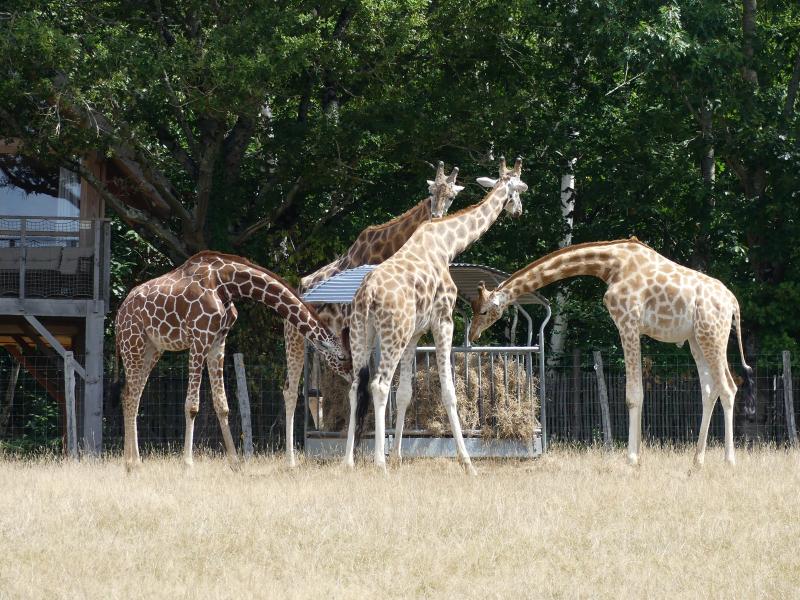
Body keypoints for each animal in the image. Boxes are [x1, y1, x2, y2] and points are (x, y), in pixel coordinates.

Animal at [115, 251, 351, 471]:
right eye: (341, 357)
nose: (351, 375)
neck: (227, 283)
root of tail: (119, 314)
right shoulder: (199, 339)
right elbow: (192, 405)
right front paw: (188, 463)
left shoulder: (218, 341)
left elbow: (223, 404)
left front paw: (235, 462)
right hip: (133, 344)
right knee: (131, 396)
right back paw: (132, 463)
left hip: (152, 349)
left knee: (129, 395)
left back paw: (133, 462)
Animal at [281, 162, 463, 467]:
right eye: (431, 193)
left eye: (451, 196)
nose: (437, 217)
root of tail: (300, 285)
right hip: (298, 339)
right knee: (292, 389)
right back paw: (293, 459)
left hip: (326, 348)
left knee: (321, 391)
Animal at [345, 157, 529, 473]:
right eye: (517, 189)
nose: (517, 211)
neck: (447, 244)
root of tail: (367, 295)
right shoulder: (443, 320)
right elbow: (449, 393)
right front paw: (467, 462)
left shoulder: (415, 333)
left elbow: (405, 393)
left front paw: (398, 457)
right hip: (392, 334)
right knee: (379, 385)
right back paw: (379, 463)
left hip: (362, 334)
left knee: (356, 386)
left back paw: (348, 462)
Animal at [468, 238, 756, 467]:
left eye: (483, 311)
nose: (472, 335)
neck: (611, 265)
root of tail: (733, 303)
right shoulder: (633, 326)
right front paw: (639, 456)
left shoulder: (628, 322)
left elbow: (633, 394)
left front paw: (631, 459)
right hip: (696, 338)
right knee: (709, 390)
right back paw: (697, 461)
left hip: (712, 333)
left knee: (728, 387)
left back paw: (729, 460)